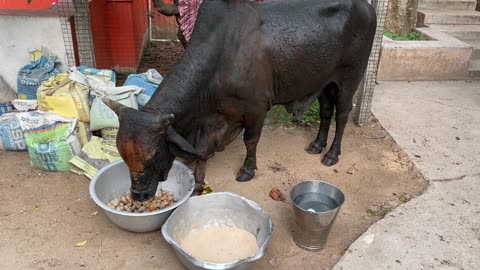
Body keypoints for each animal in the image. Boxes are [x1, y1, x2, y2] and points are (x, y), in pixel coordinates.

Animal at [105, 0, 378, 200]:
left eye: (152, 156)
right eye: (123, 156)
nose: (139, 196)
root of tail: (367, 6)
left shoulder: (256, 108)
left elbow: (250, 140)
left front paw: (247, 170)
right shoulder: (213, 119)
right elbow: (202, 151)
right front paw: (198, 183)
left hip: (350, 78)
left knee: (342, 114)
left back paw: (332, 154)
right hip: (324, 82)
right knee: (326, 111)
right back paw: (317, 144)